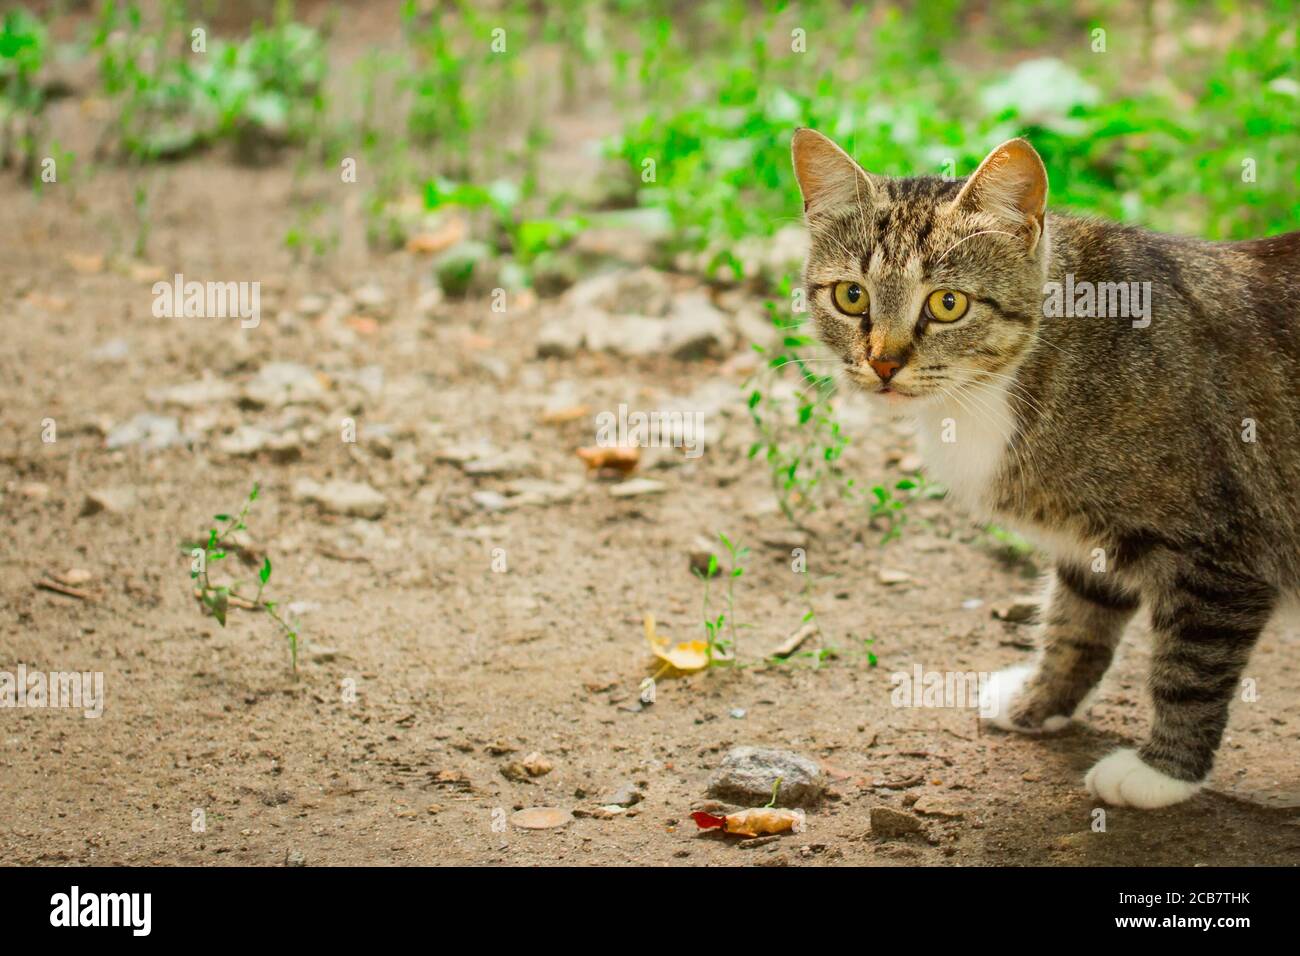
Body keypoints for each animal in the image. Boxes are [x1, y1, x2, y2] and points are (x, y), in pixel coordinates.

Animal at [790, 128, 1300, 806]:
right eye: (852, 296)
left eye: (947, 304)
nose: (883, 364)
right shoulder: (1094, 540)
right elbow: (1074, 624)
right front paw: (1038, 701)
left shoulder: (1225, 552)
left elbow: (1192, 667)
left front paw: (1162, 773)